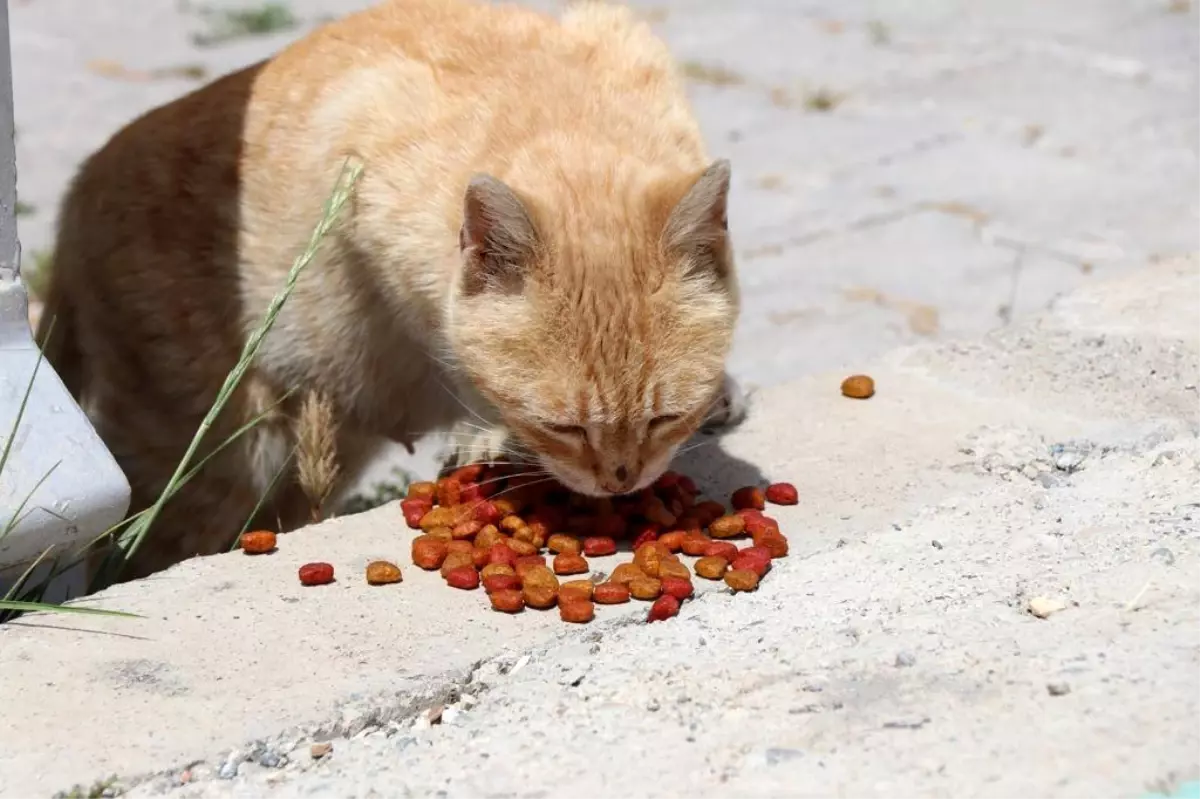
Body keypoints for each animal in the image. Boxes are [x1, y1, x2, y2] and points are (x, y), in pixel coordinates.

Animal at [35, 0, 739, 575]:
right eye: (562, 427)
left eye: (666, 418)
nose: (621, 481)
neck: (562, 120)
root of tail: (78, 191)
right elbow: (453, 350)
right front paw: (488, 432)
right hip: (213, 463)